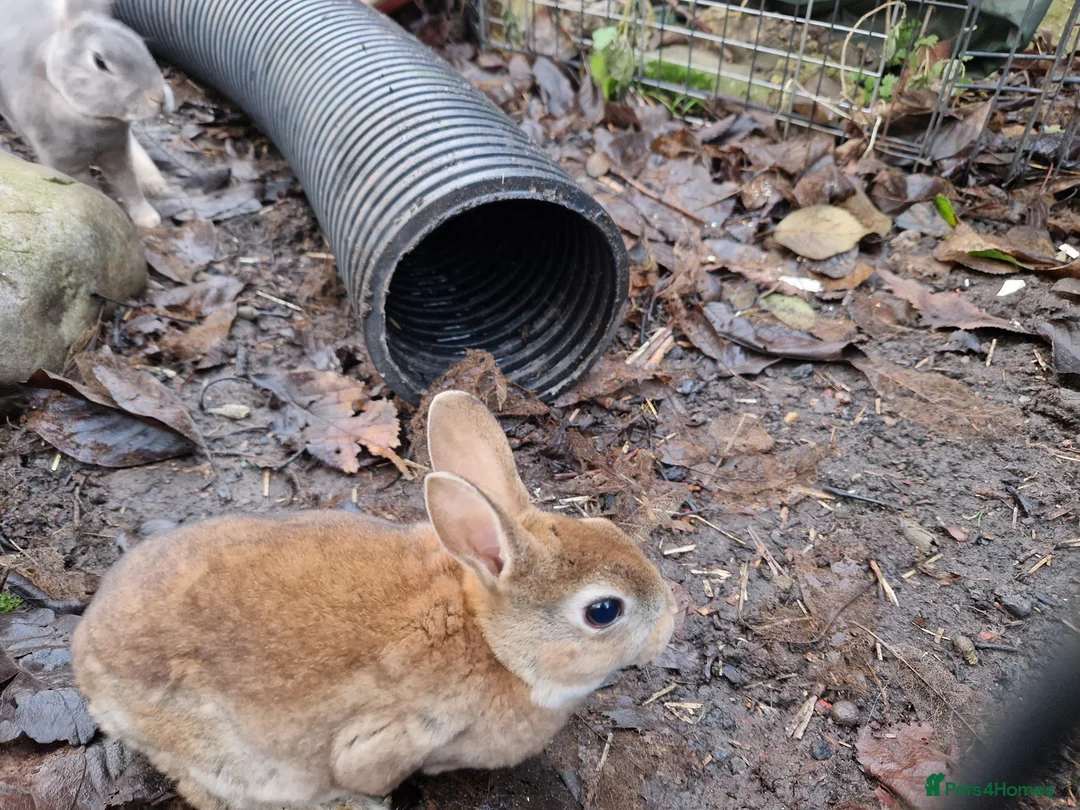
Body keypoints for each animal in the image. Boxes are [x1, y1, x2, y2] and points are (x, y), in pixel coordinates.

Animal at [0, 0, 173, 228]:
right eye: (100, 62)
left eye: (140, 43)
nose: (159, 98)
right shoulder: (66, 165)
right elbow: (98, 191)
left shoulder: (117, 150)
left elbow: (128, 185)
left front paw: (149, 219)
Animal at [71, 390, 678, 810]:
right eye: (604, 611)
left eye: (606, 525)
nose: (670, 622)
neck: (494, 641)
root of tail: (86, 663)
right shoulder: (404, 733)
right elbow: (366, 765)